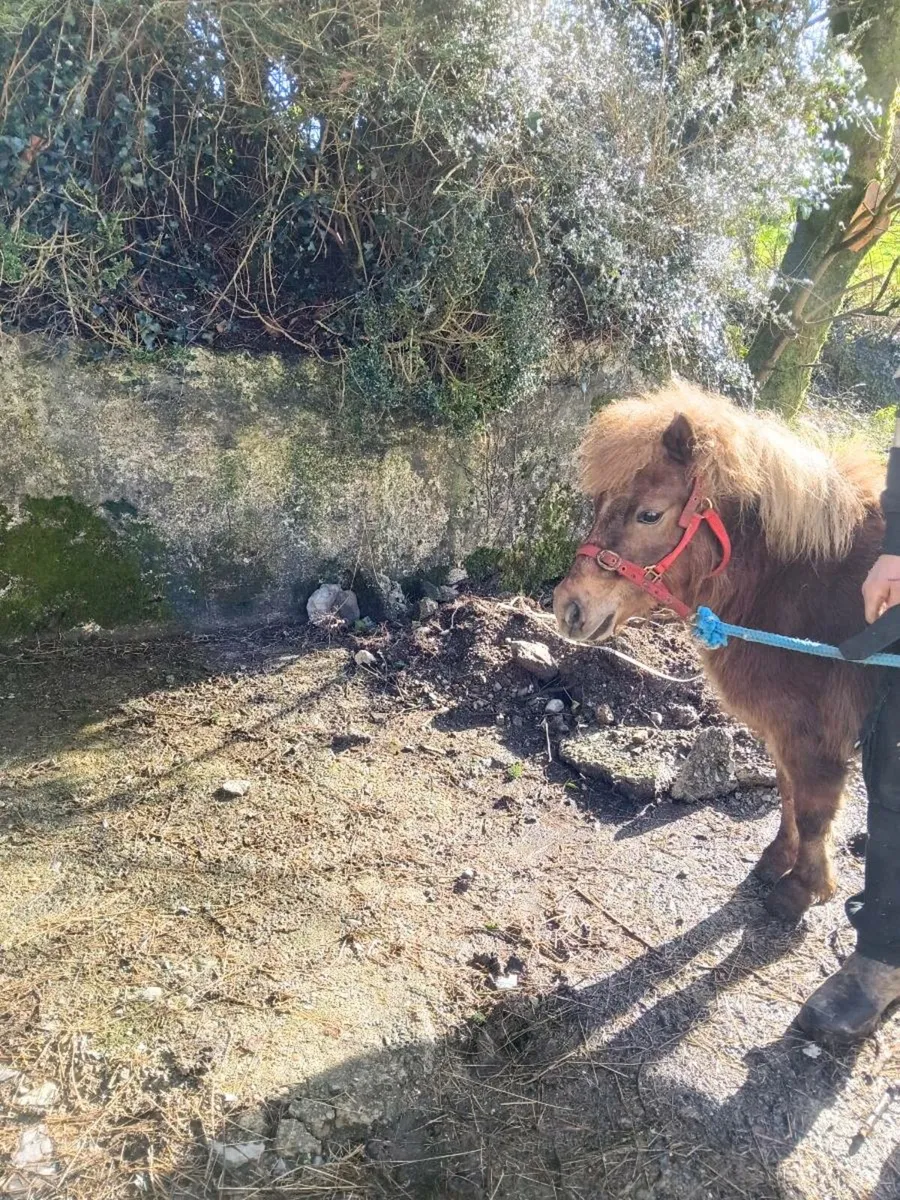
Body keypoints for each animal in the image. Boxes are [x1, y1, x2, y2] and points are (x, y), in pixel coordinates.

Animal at [553, 382, 886, 924]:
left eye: (650, 514)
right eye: (599, 502)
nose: (568, 607)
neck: (805, 585)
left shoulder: (815, 737)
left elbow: (814, 811)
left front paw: (802, 890)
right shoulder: (783, 729)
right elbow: (787, 794)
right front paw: (777, 861)